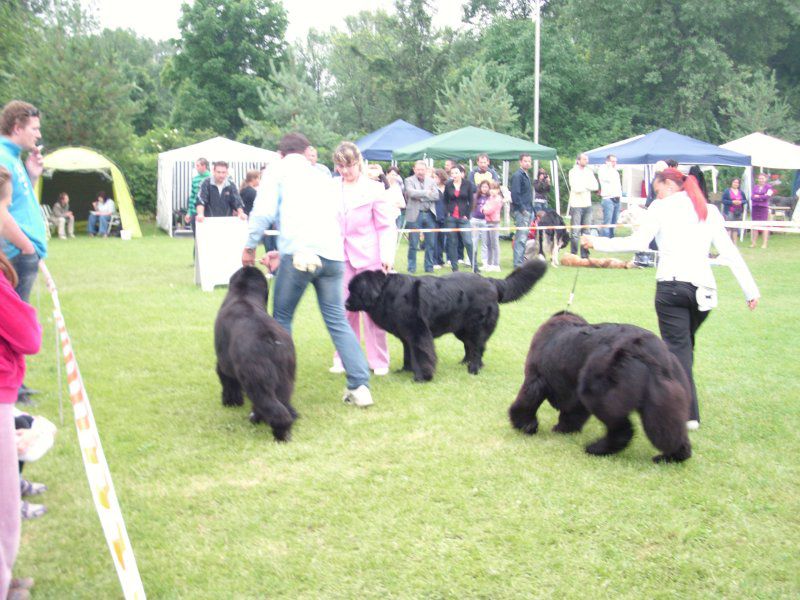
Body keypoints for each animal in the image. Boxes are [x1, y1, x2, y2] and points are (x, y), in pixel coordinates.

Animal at [214, 268, 298, 440]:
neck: (243, 295)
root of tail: (270, 339)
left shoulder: (223, 364)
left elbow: (228, 383)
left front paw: (231, 401)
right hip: (285, 374)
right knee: (283, 399)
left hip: (256, 378)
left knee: (270, 404)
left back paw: (276, 431)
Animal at [346, 260, 548, 382]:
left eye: (354, 291)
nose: (345, 303)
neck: (387, 293)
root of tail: (490, 282)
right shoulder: (406, 335)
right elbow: (408, 353)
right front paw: (405, 369)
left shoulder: (418, 331)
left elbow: (421, 353)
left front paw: (422, 376)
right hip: (462, 328)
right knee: (472, 346)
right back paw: (467, 362)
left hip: (477, 326)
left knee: (477, 347)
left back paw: (473, 368)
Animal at [510, 312, 692, 462]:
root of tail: (647, 348)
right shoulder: (574, 396)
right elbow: (572, 414)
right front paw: (563, 428)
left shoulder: (535, 378)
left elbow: (526, 402)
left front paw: (526, 425)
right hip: (667, 397)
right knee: (671, 428)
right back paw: (672, 456)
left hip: (599, 391)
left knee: (622, 429)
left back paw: (597, 448)